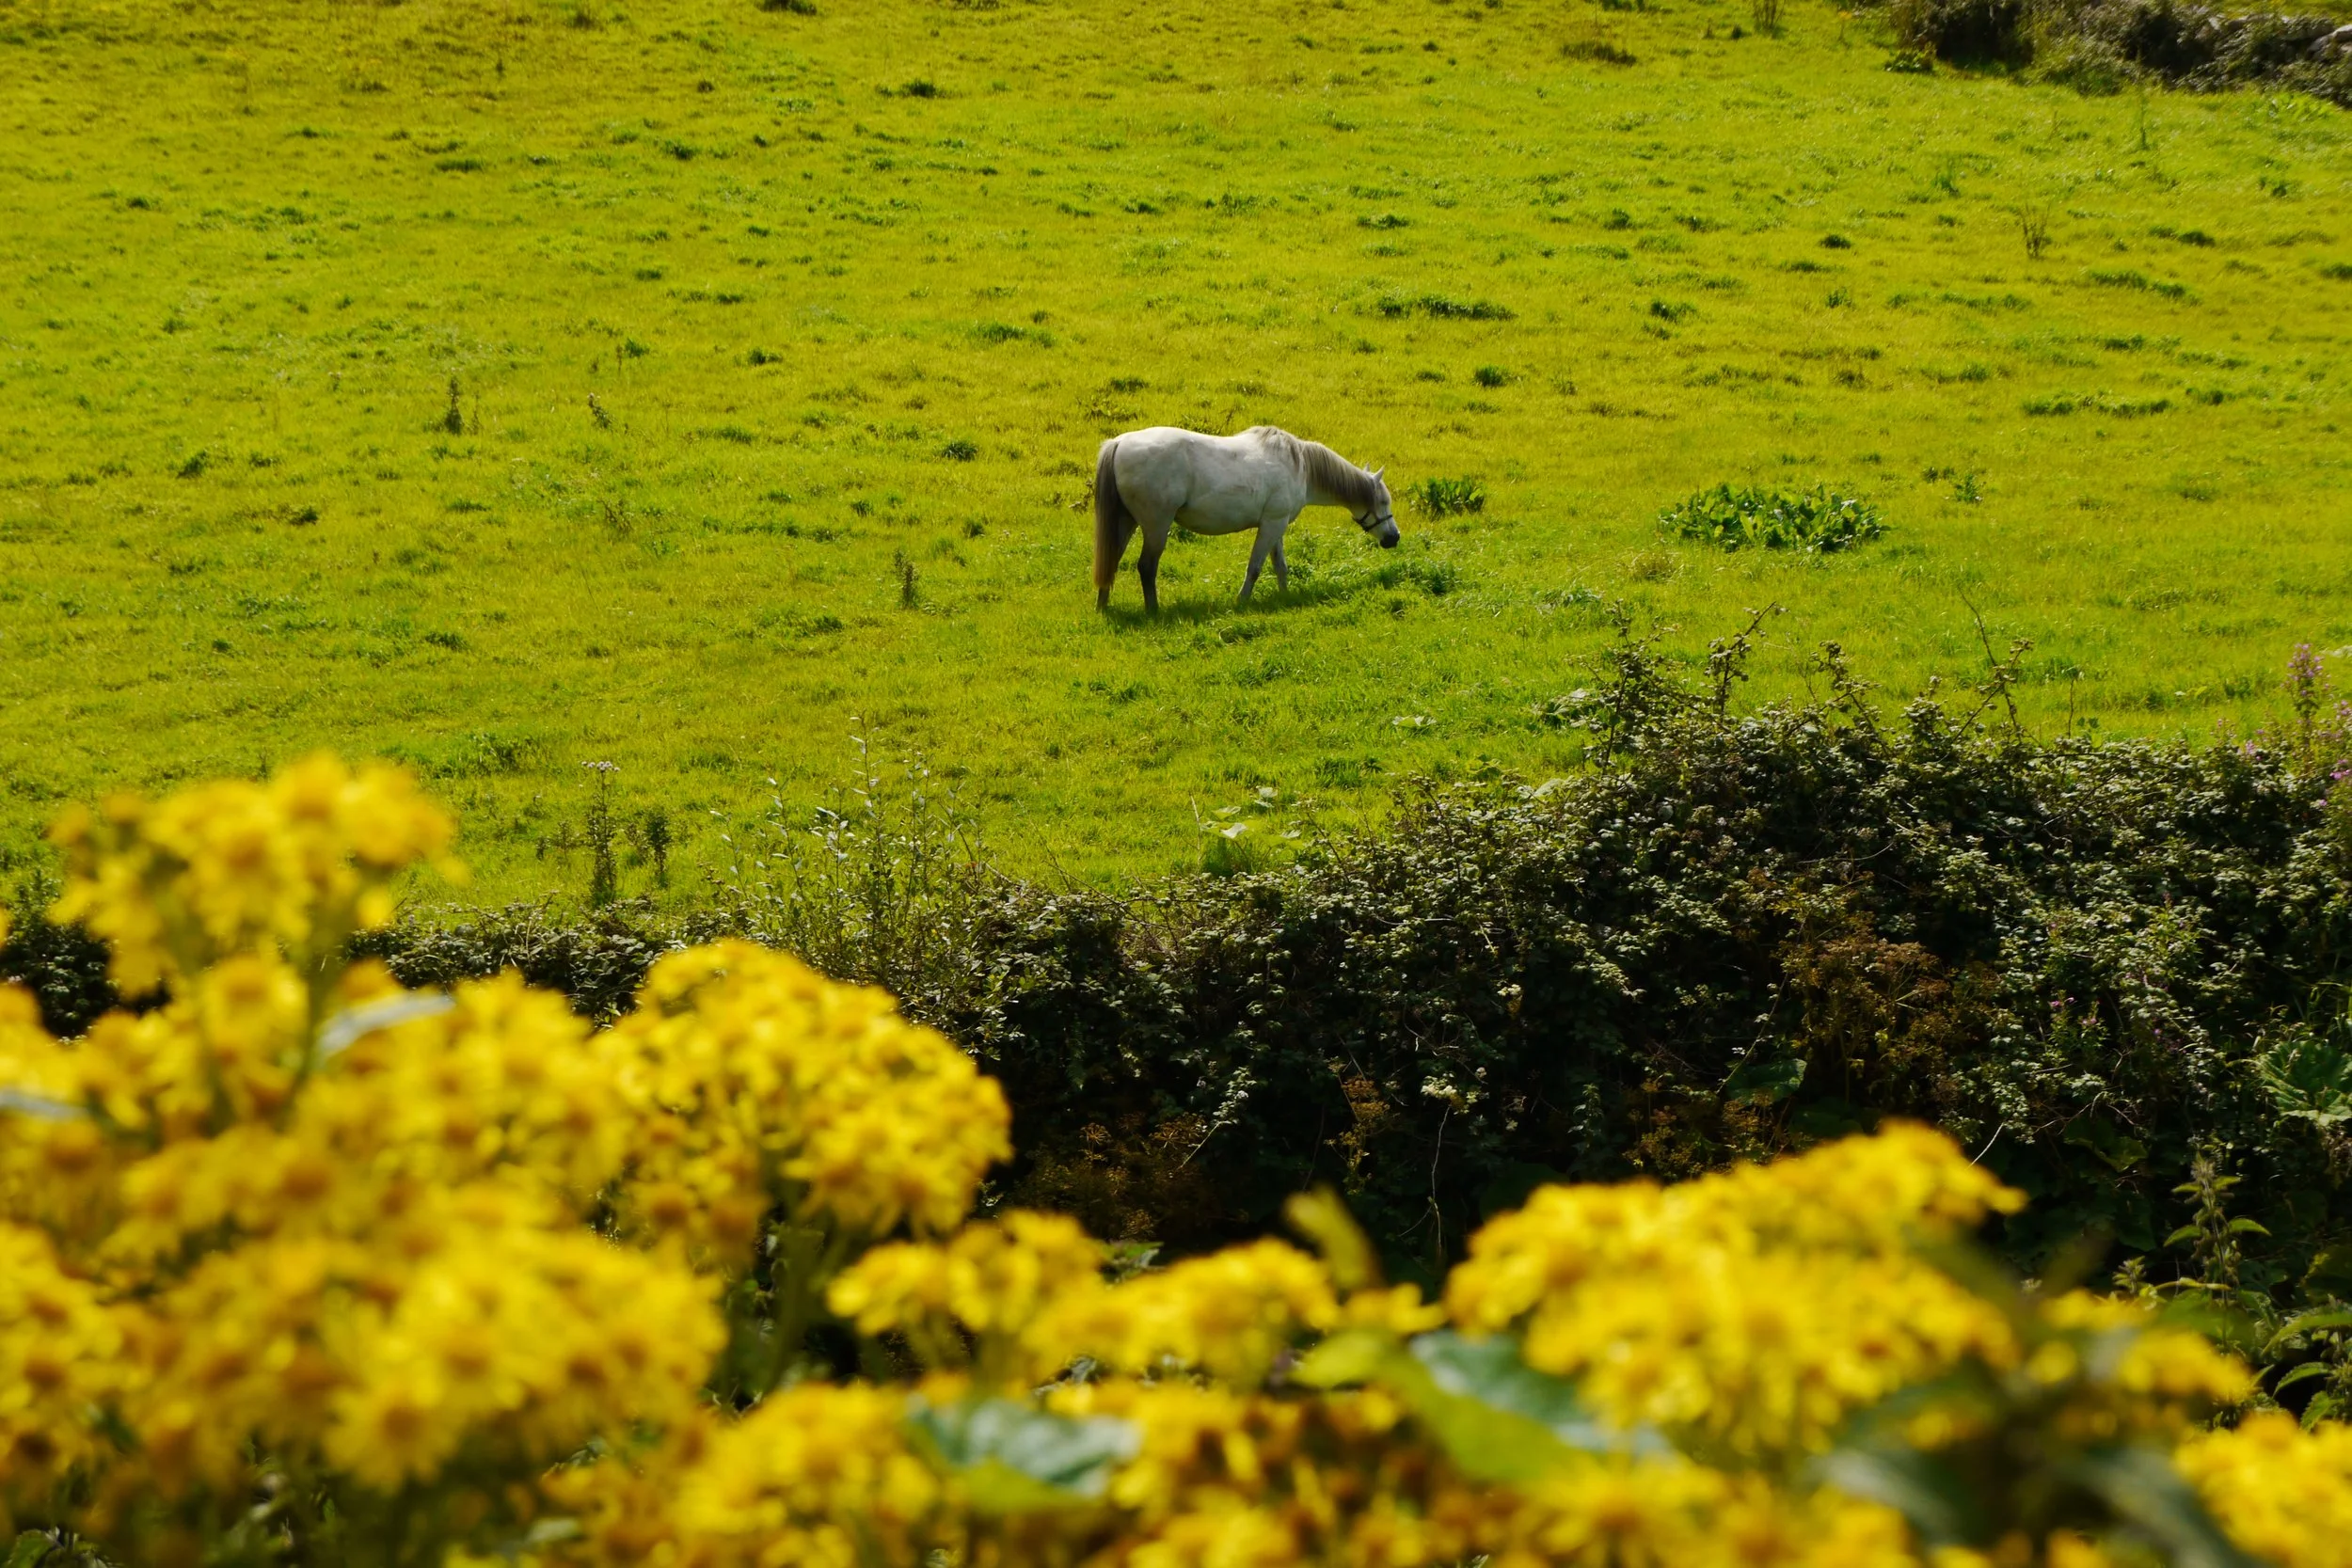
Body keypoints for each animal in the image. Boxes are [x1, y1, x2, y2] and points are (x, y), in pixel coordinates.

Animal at [1092, 425, 1399, 613]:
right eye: (1383, 501)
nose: (1394, 538)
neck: (1299, 464)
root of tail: (1120, 442)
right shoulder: (1272, 525)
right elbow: (1255, 567)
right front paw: (1241, 601)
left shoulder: (1276, 525)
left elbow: (1280, 566)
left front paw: (1284, 596)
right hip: (1156, 526)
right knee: (1146, 567)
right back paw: (1153, 610)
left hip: (1126, 522)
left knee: (1112, 560)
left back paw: (1103, 605)